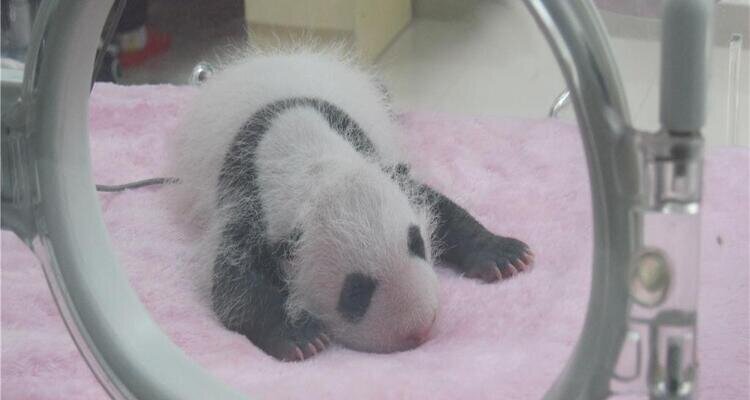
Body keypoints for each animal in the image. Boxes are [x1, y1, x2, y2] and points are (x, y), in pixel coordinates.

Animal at [169, 47, 533, 361]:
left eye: (416, 243)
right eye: (355, 292)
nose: (419, 328)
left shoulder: (379, 165)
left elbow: (440, 208)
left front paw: (503, 255)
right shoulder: (248, 203)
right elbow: (234, 286)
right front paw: (300, 337)